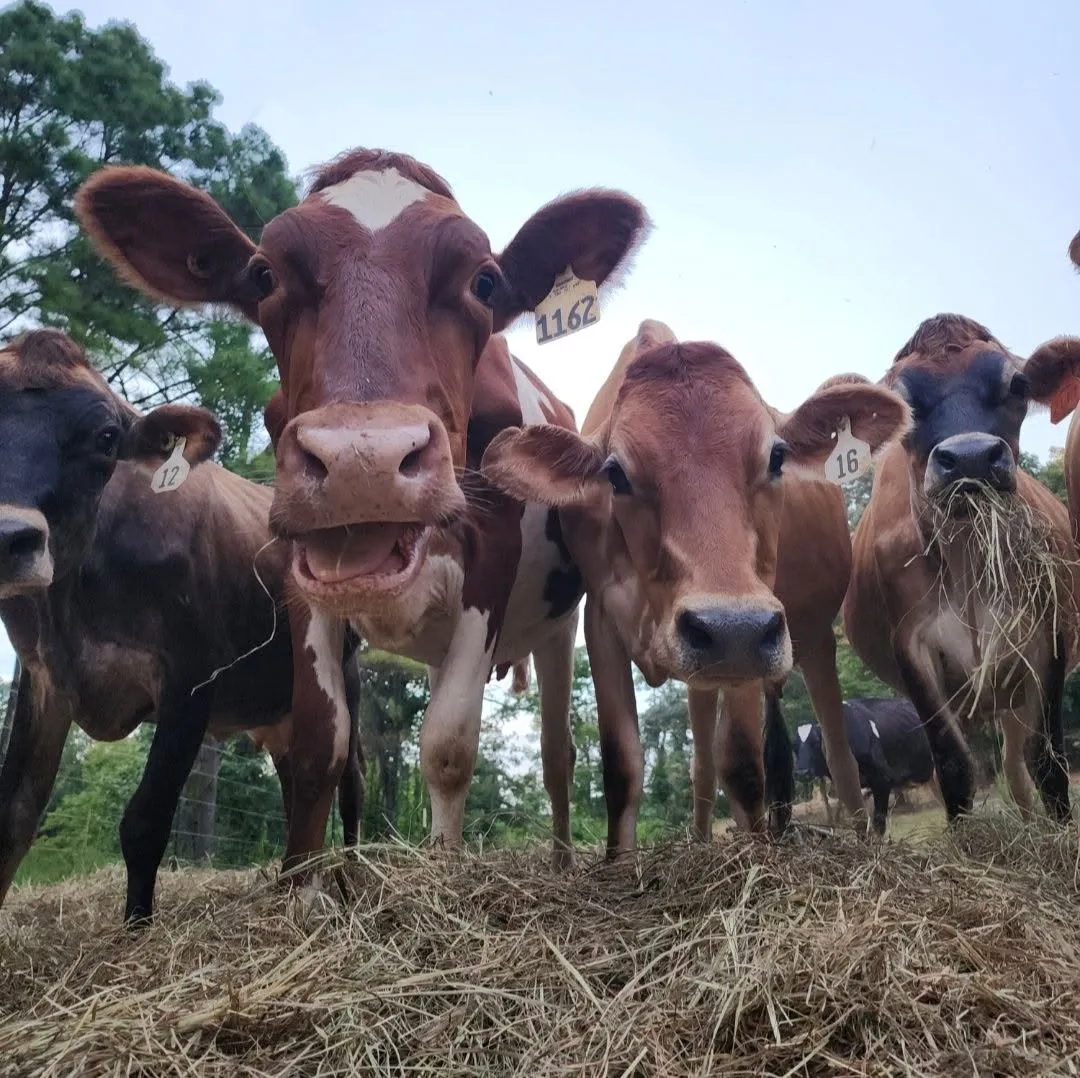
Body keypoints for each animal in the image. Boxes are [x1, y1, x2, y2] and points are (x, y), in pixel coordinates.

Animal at [0, 329, 365, 925]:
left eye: (106, 437)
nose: (10, 537)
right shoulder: (44, 676)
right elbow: (15, 814)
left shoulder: (189, 678)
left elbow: (145, 820)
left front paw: (136, 928)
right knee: (296, 780)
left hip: (345, 680)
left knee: (350, 780)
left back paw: (353, 875)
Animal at [75, 148, 649, 872]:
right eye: (264, 274)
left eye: (485, 282)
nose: (362, 461)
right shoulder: (301, 566)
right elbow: (322, 746)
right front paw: (304, 882)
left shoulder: (491, 561)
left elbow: (448, 747)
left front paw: (442, 874)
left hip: (557, 625)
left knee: (557, 754)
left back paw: (563, 861)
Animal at [479, 320, 910, 853]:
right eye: (615, 473)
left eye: (777, 457)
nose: (727, 627)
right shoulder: (604, 620)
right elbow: (622, 764)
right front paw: (619, 863)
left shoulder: (752, 630)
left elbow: (743, 765)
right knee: (703, 763)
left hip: (809, 640)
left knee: (837, 751)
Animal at [792, 697, 935, 833]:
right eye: (793, 746)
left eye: (816, 742)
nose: (801, 772)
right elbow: (859, 818)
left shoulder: (882, 780)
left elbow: (878, 821)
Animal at [844, 314, 1080, 824]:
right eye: (903, 402)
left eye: (1017, 384)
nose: (970, 458)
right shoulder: (913, 650)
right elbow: (953, 766)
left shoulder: (1046, 634)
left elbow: (1048, 760)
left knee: (1017, 763)